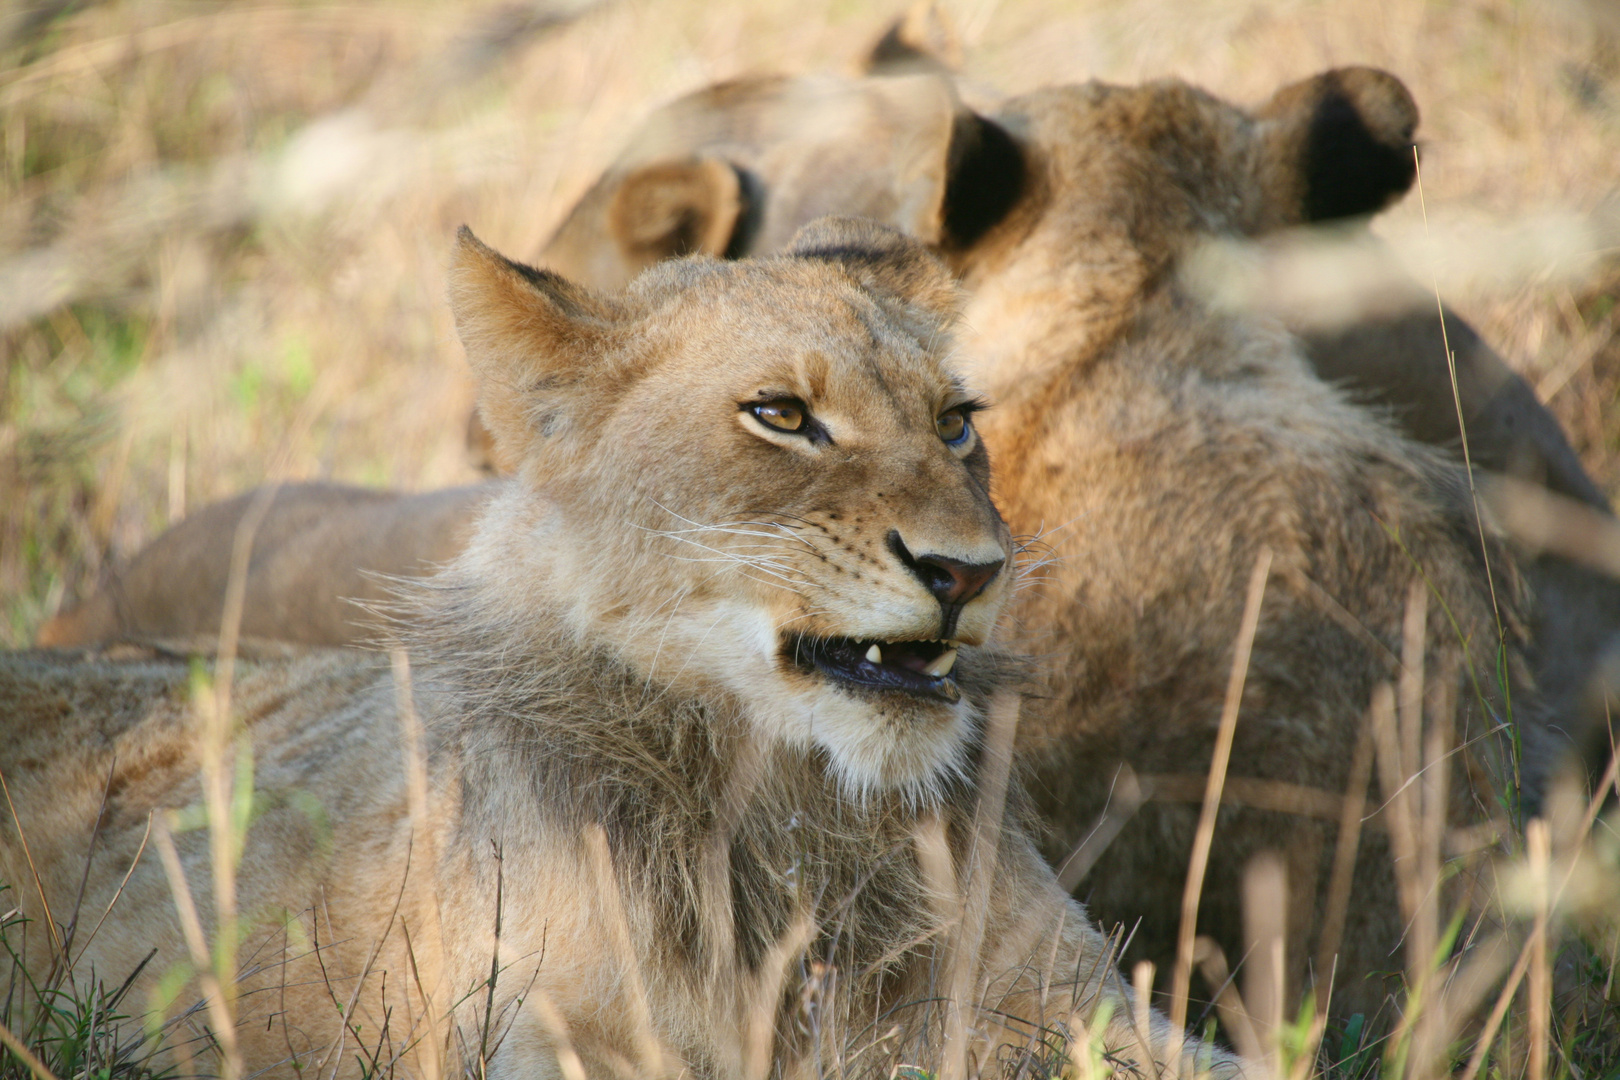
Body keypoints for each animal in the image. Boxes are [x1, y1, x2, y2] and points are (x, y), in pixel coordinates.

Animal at [3, 223, 1237, 1080]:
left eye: (954, 424)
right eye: (782, 415)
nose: (970, 572)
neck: (798, 815)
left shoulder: (1078, 1005)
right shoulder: (533, 1030)